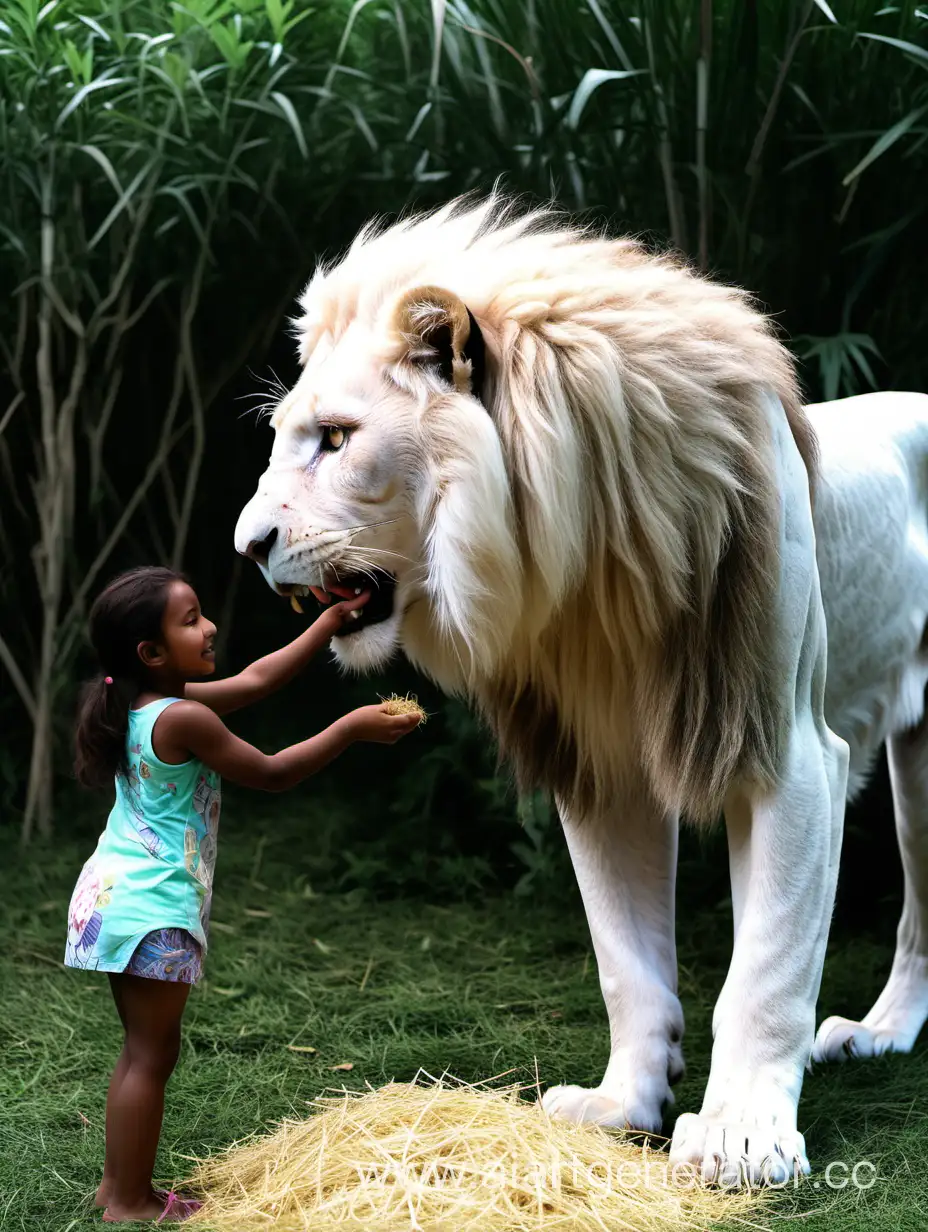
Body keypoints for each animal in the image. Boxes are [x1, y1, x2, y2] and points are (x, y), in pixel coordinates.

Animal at [232, 197, 928, 1187]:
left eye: (335, 437)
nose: (246, 547)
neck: (585, 563)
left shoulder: (786, 748)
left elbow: (768, 964)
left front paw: (742, 1136)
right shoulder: (600, 761)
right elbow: (624, 959)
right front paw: (622, 1105)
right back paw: (877, 1034)